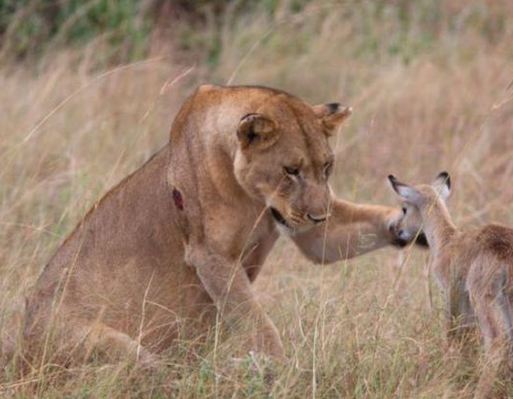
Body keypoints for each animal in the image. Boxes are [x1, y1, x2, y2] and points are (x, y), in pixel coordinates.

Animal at [18, 85, 410, 368]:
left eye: (326, 166)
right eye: (290, 170)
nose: (320, 215)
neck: (252, 198)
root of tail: (20, 349)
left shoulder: (308, 232)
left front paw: (409, 218)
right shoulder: (211, 257)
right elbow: (257, 322)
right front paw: (282, 370)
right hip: (106, 343)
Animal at [388, 173, 512, 399]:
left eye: (404, 208)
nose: (397, 230)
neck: (447, 239)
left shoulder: (452, 291)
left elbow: (452, 331)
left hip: (483, 297)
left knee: (496, 341)